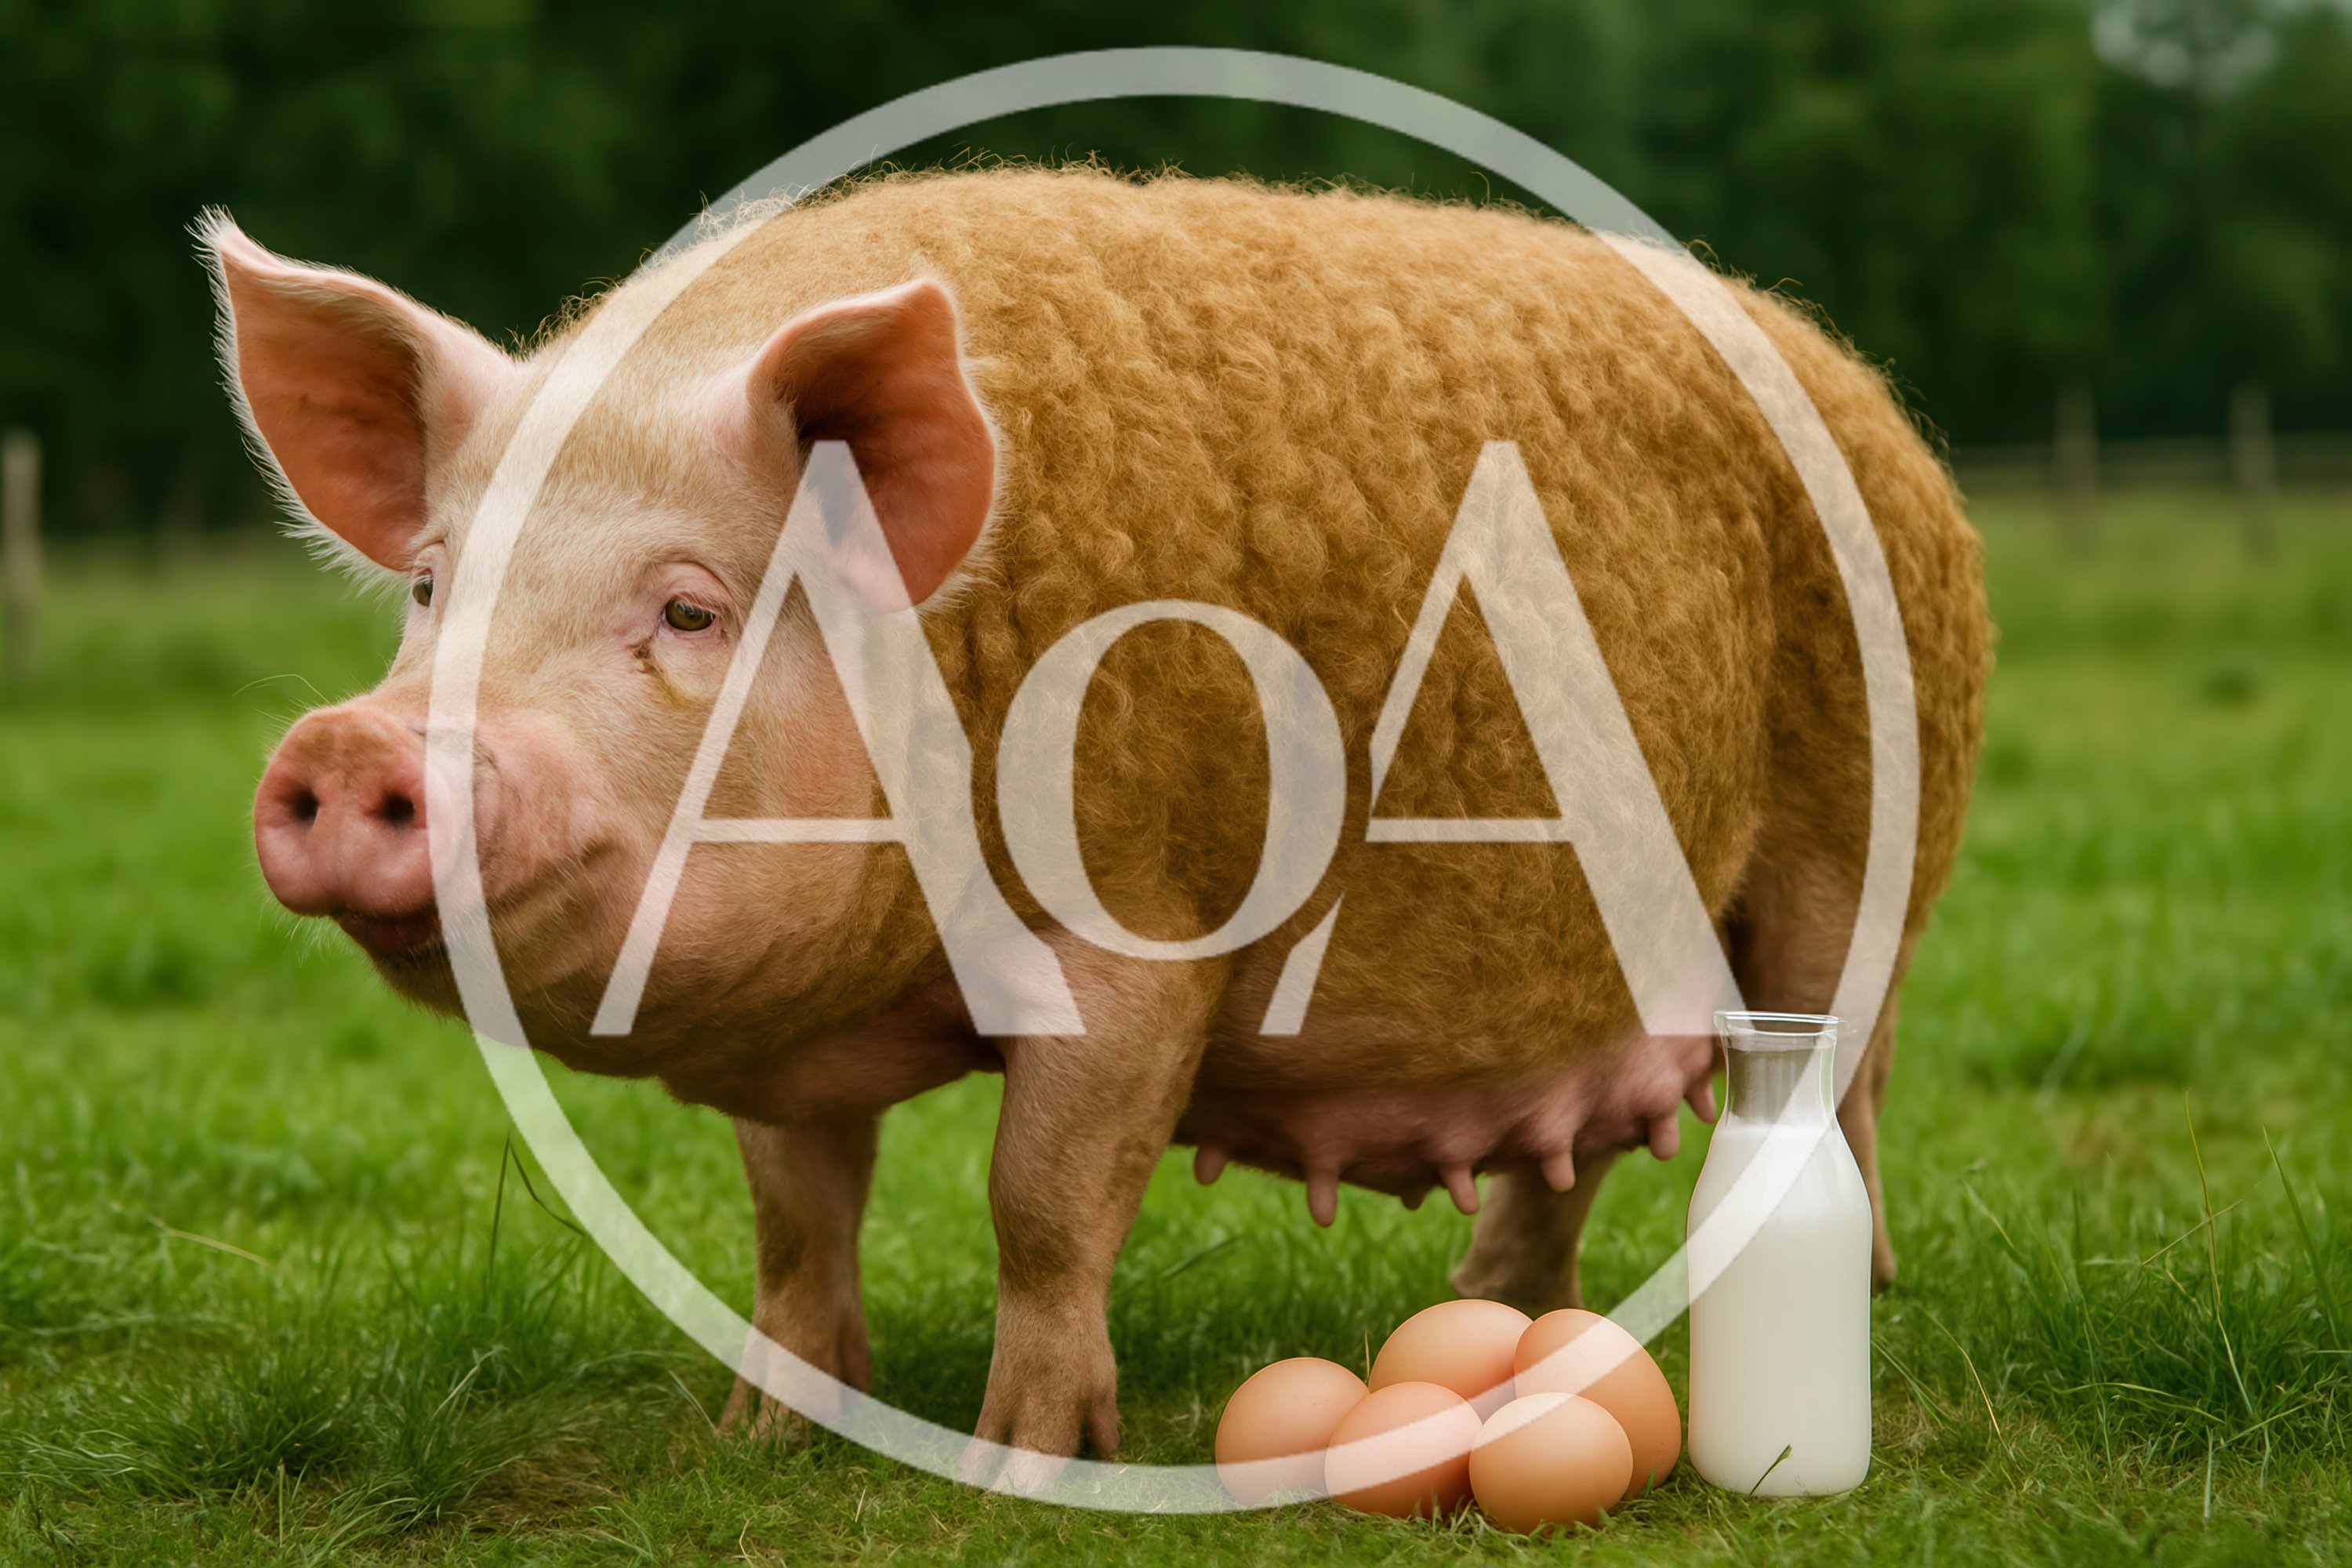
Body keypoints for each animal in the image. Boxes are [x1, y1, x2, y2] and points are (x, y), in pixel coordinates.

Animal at [214, 166, 1989, 1463]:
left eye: (691, 609)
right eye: (429, 585)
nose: (350, 745)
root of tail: (1867, 388)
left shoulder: (1141, 922)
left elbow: (1045, 1196)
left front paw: (1026, 1458)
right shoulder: (789, 1037)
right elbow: (798, 1216)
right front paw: (758, 1439)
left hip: (1863, 848)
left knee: (1843, 1089)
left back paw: (1851, 1310)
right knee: (1575, 1149)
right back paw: (1485, 1319)